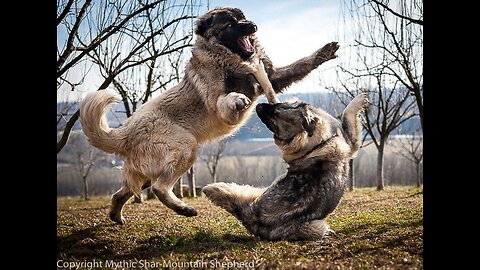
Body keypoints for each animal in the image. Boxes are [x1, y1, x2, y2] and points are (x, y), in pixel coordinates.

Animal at [202, 94, 368, 240]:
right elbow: (347, 114)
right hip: (316, 226)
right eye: (274, 124)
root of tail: (252, 217)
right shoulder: (351, 143)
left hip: (258, 191)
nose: (258, 105)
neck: (319, 142)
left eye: (278, 110)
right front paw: (359, 99)